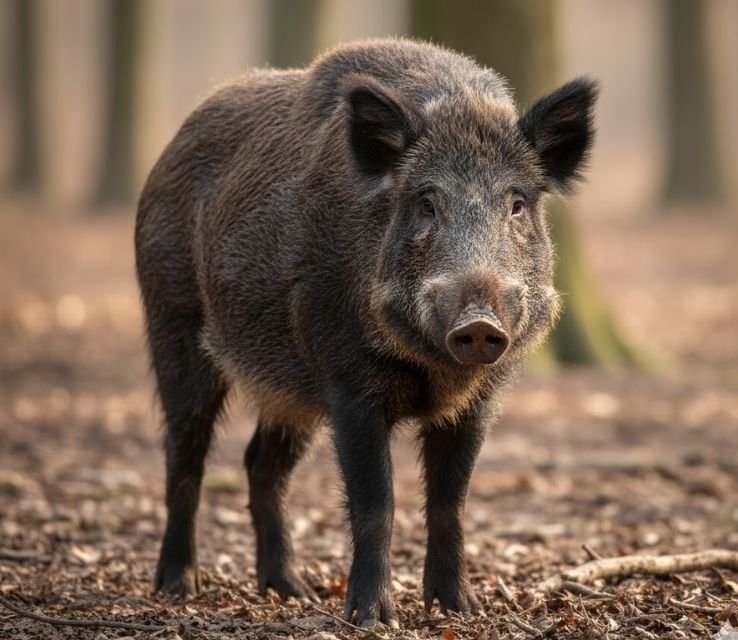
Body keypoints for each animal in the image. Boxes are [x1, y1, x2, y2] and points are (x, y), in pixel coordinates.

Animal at [135, 38, 597, 627]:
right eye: (426, 203)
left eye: (516, 204)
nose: (478, 323)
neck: (433, 371)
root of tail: (169, 149)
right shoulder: (348, 382)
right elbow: (377, 503)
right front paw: (372, 619)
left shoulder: (479, 400)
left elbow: (452, 502)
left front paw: (461, 610)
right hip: (172, 323)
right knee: (184, 455)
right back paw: (177, 588)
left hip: (291, 391)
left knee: (261, 465)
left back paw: (291, 592)